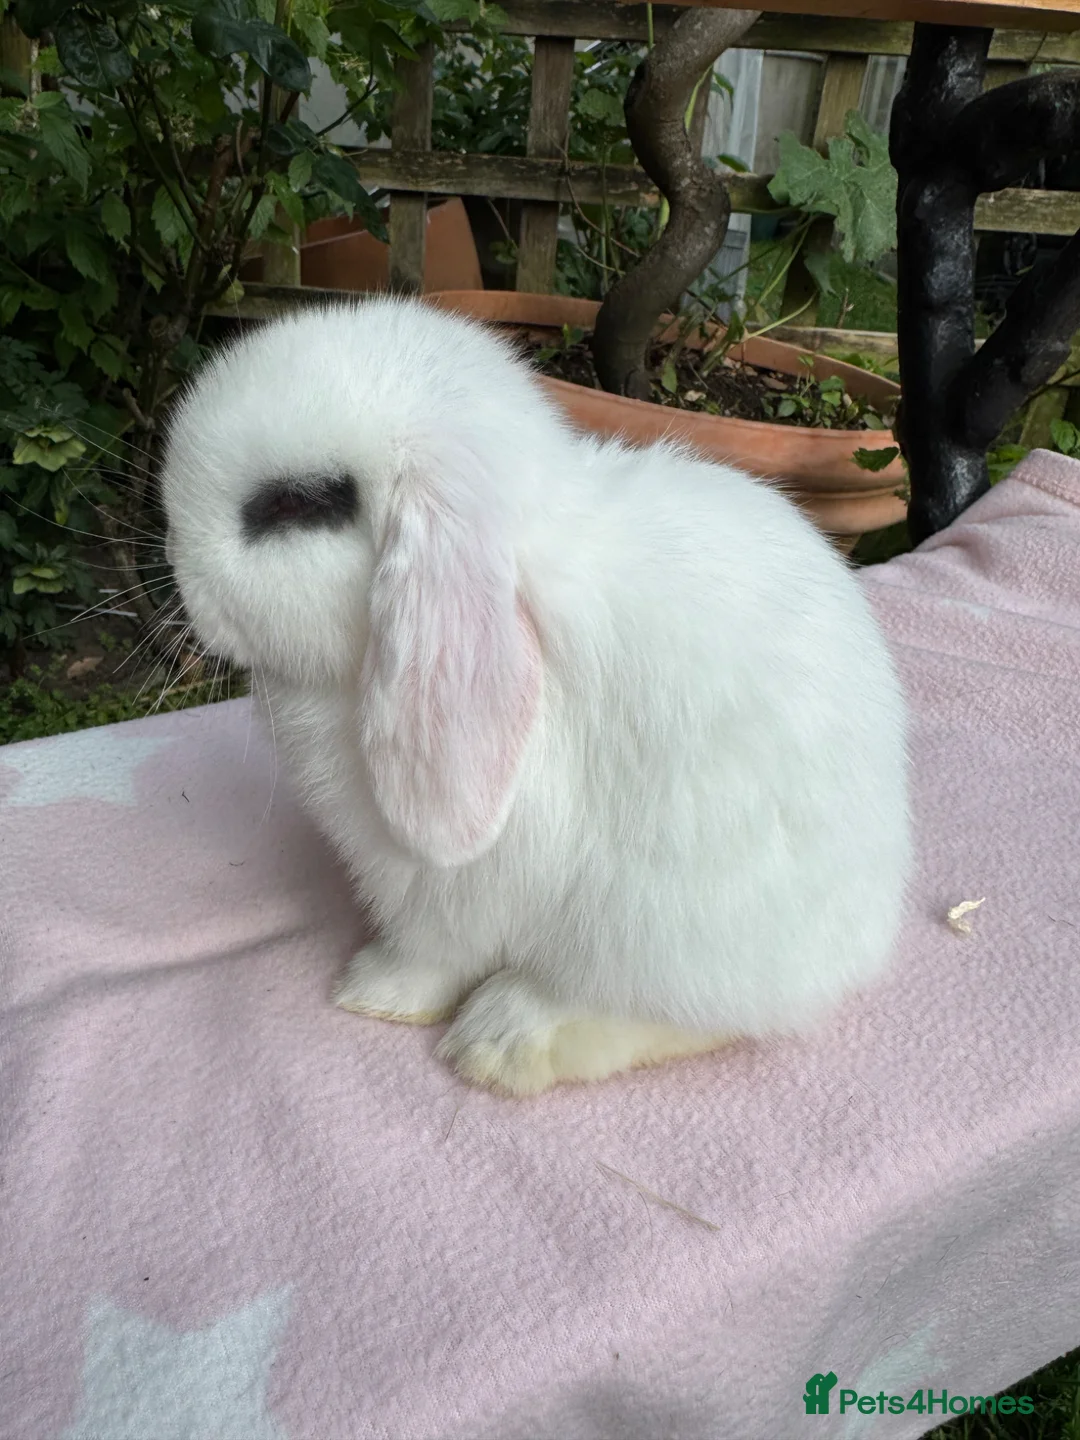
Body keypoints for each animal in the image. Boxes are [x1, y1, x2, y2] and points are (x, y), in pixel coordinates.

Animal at [160, 295, 912, 1097]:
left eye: (298, 503)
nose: (175, 564)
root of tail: (863, 941)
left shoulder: (446, 889)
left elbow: (431, 955)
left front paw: (371, 991)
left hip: (661, 923)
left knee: (682, 1013)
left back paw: (507, 1038)